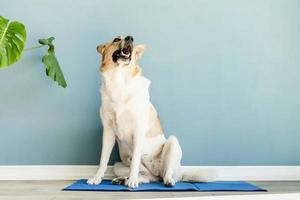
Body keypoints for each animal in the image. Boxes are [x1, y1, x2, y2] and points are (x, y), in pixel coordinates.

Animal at [86, 35, 216, 188]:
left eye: (131, 40)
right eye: (116, 39)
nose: (130, 38)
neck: (120, 81)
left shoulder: (138, 129)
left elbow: (135, 160)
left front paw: (132, 181)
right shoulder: (108, 132)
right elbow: (103, 160)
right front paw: (96, 178)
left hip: (172, 143)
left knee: (166, 174)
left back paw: (165, 180)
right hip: (118, 165)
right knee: (148, 178)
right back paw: (123, 179)